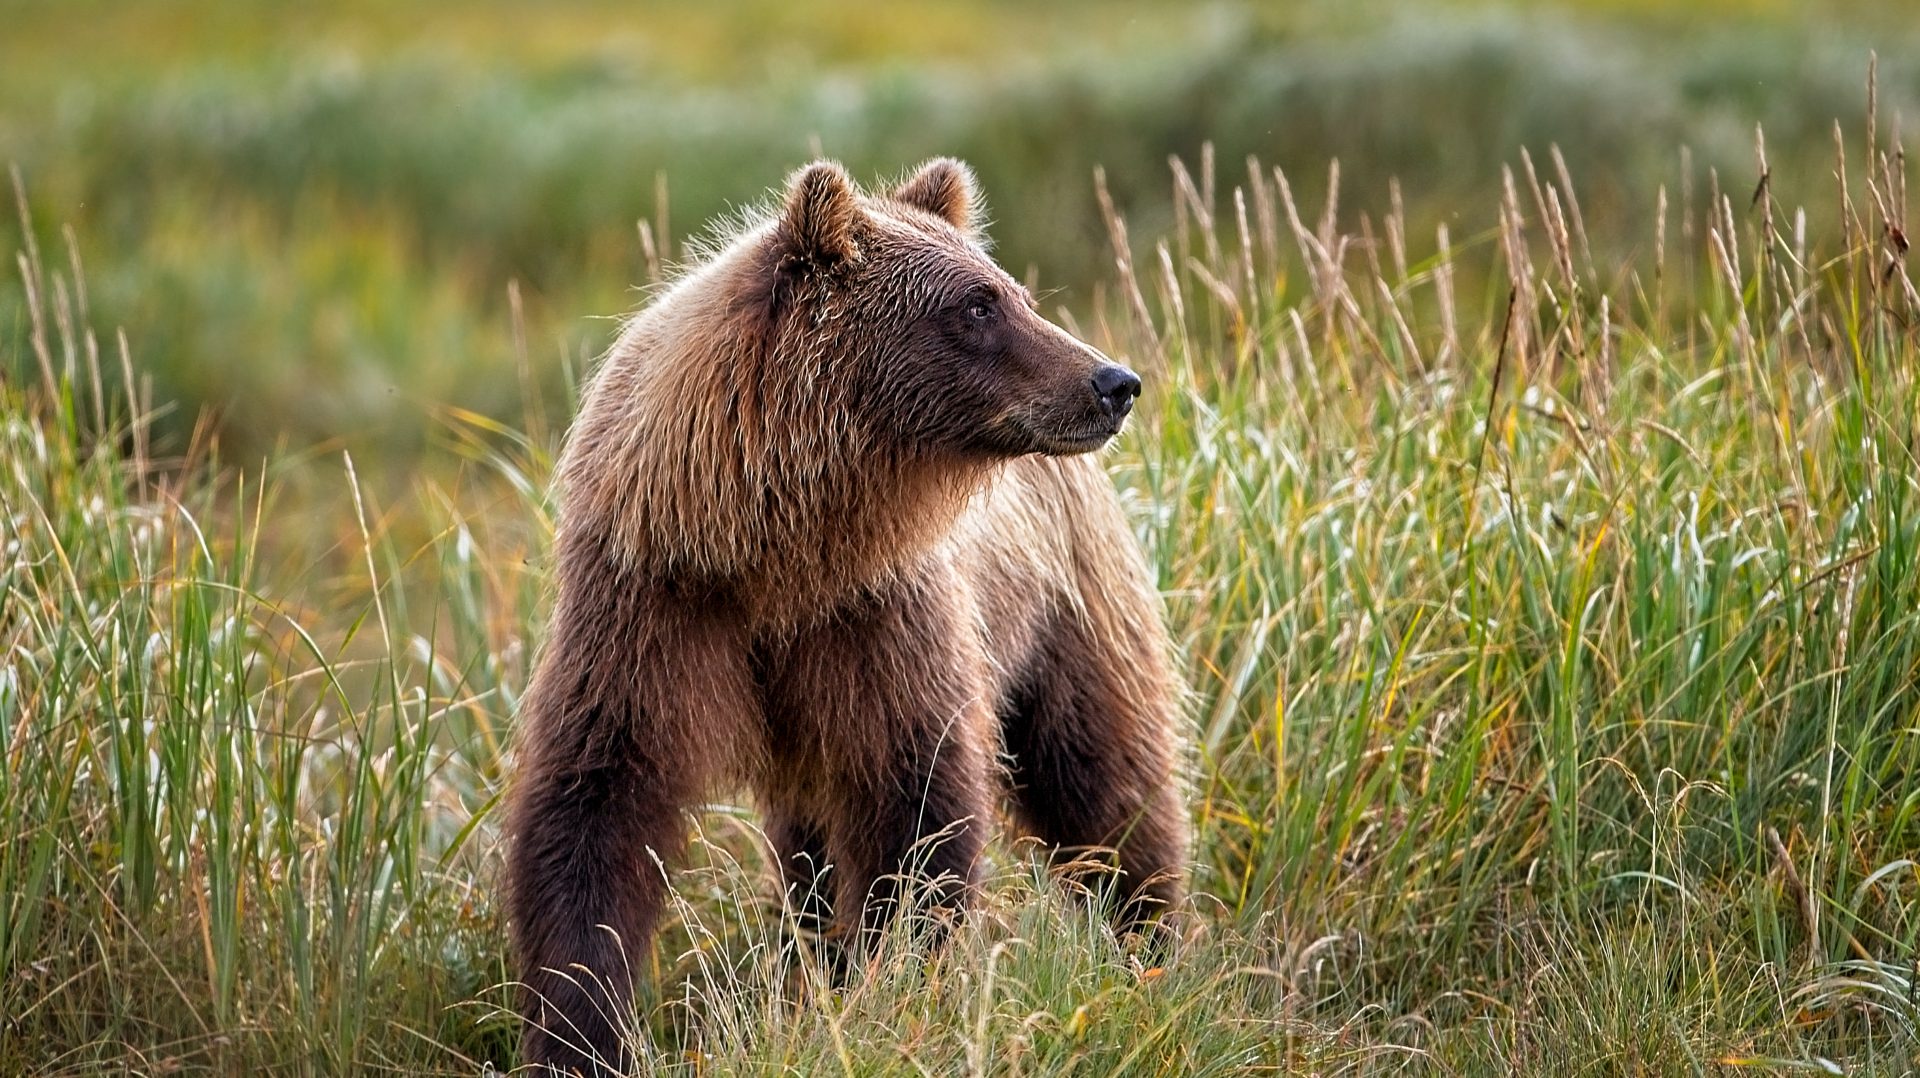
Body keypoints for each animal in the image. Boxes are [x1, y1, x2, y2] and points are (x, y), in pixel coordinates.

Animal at [505, 157, 1189, 1075]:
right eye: (979, 305)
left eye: (1010, 291)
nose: (1112, 381)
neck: (776, 551)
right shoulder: (651, 604)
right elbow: (593, 810)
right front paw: (580, 1033)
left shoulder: (876, 615)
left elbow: (919, 805)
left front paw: (890, 984)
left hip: (1069, 604)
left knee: (1104, 777)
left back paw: (1148, 941)